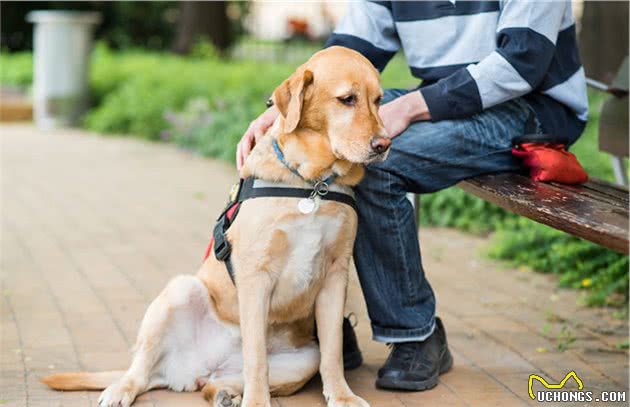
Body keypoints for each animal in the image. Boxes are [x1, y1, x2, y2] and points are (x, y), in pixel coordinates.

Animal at [43, 46, 390, 407]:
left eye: (378, 100)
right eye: (347, 99)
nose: (384, 144)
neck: (312, 185)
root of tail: (188, 370)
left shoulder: (336, 274)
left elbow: (333, 353)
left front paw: (342, 395)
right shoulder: (255, 275)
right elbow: (256, 357)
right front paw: (257, 403)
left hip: (303, 359)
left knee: (211, 384)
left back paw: (224, 393)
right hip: (179, 291)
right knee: (140, 369)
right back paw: (121, 389)